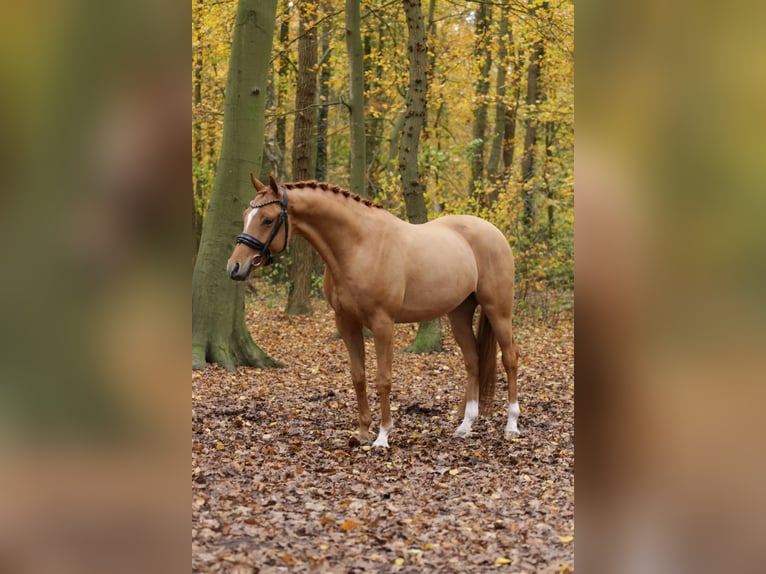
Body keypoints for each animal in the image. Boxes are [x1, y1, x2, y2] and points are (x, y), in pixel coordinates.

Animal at [225, 176, 520, 450]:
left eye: (267, 219)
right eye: (245, 215)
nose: (235, 267)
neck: (359, 246)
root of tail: (494, 232)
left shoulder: (382, 324)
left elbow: (383, 379)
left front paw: (383, 436)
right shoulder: (346, 322)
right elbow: (358, 376)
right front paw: (364, 432)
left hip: (498, 310)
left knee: (510, 359)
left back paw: (511, 426)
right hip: (459, 313)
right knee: (473, 361)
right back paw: (466, 425)